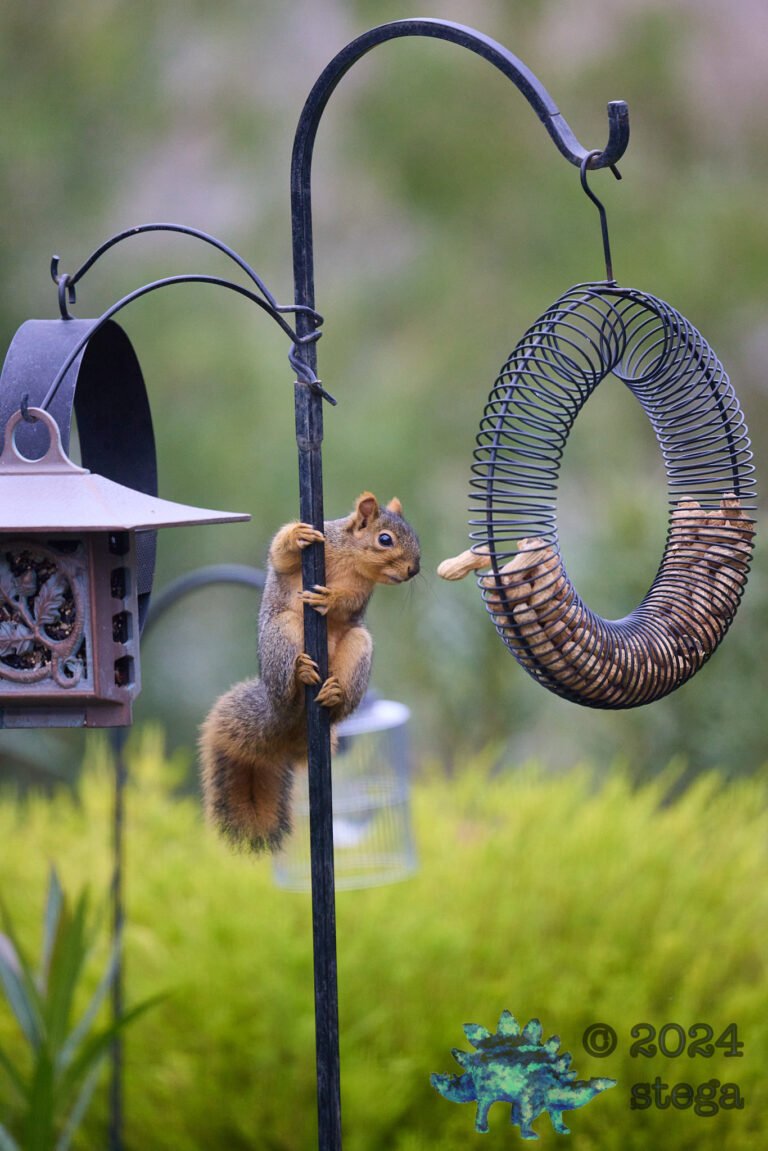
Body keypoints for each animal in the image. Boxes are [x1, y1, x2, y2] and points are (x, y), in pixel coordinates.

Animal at [199, 492, 420, 853]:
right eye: (385, 539)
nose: (414, 569)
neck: (349, 556)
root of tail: (282, 722)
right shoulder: (307, 554)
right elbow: (280, 557)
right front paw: (296, 535)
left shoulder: (362, 591)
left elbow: (349, 601)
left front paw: (332, 598)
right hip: (283, 633)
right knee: (288, 690)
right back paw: (299, 674)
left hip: (359, 646)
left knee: (340, 704)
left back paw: (334, 694)